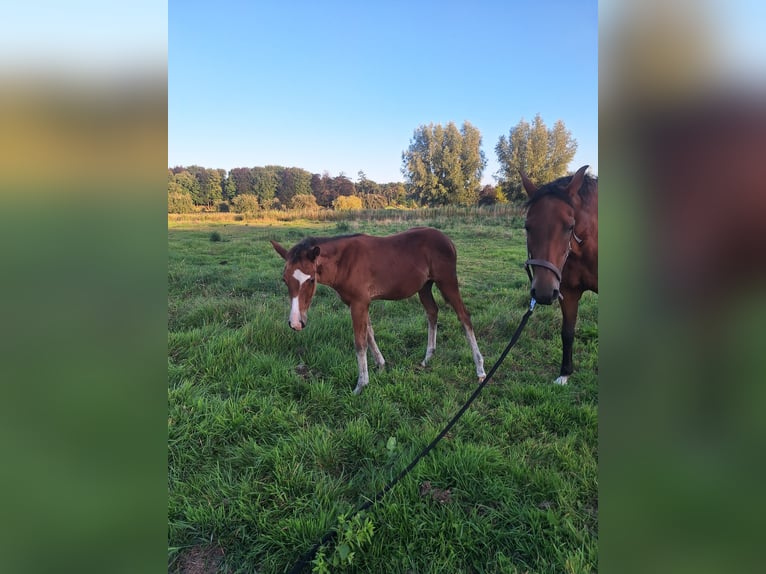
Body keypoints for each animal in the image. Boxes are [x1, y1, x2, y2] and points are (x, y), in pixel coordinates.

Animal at [270, 227, 486, 395]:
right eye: (284, 279)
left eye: (311, 280)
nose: (296, 323)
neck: (345, 262)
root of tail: (448, 240)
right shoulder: (358, 303)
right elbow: (370, 333)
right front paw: (381, 366)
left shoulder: (359, 303)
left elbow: (360, 342)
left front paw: (360, 385)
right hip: (424, 287)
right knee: (432, 312)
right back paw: (427, 358)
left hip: (447, 282)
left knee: (464, 317)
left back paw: (480, 369)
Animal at [520, 165, 598, 385]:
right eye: (527, 226)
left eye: (570, 226)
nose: (543, 292)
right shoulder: (568, 293)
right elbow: (567, 333)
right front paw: (565, 373)